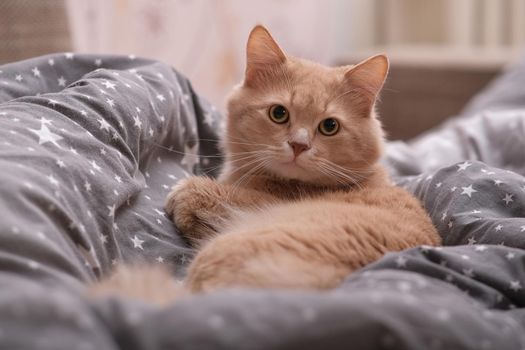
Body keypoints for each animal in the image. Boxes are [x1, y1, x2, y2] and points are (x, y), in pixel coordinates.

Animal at [90, 24, 438, 304]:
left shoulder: (252, 201)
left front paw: (186, 194)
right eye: (278, 114)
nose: (299, 145)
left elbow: (205, 193)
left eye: (329, 126)